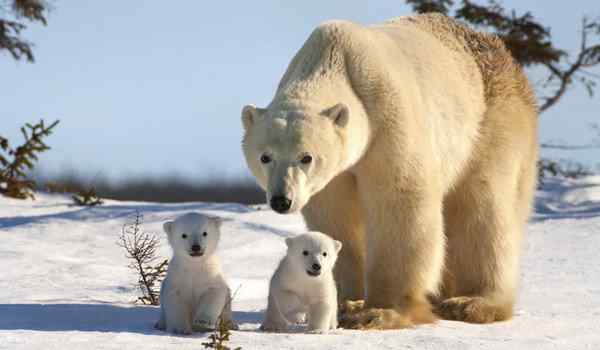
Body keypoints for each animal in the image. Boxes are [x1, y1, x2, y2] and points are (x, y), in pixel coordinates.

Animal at [240, 13, 540, 330]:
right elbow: (335, 218)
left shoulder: (387, 117)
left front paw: (379, 311)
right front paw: (346, 301)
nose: (281, 200)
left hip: (490, 124)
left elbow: (400, 200)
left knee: (483, 208)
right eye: (265, 157)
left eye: (306, 157)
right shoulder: (332, 177)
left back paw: (472, 302)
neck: (333, 59)